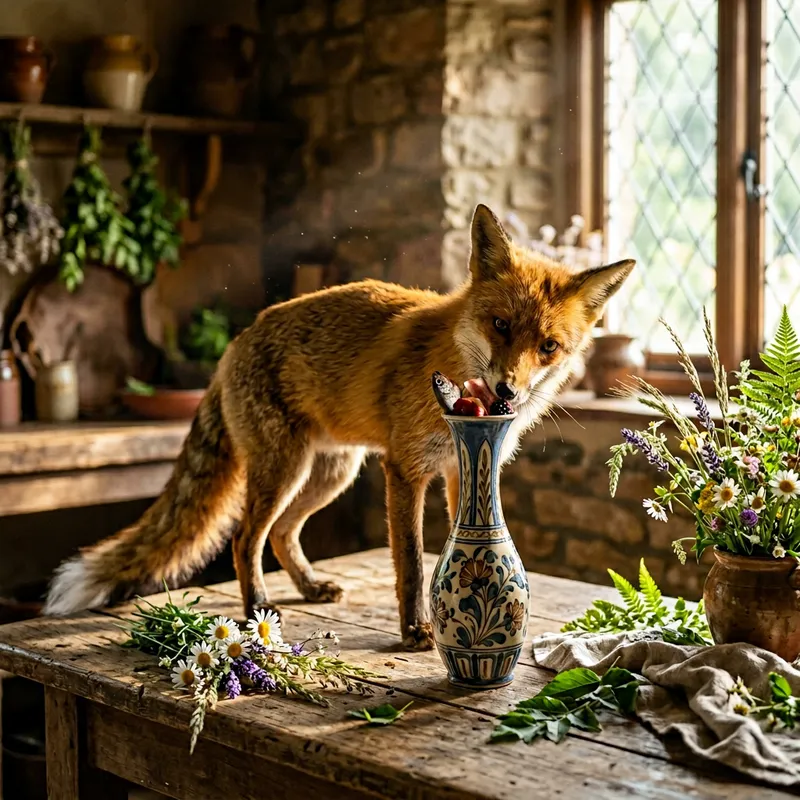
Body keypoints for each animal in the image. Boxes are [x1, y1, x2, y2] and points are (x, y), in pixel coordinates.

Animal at [43, 204, 634, 650]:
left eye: (548, 347)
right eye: (501, 325)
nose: (509, 391)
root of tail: (235, 342)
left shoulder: (457, 472)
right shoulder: (406, 470)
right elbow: (410, 563)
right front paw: (416, 630)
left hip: (329, 473)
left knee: (283, 534)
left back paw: (307, 587)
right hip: (284, 470)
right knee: (245, 539)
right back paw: (257, 608)